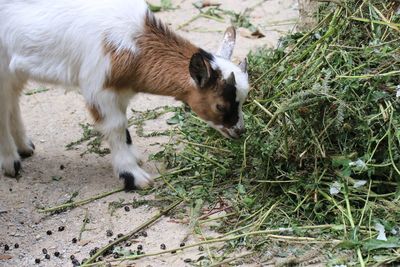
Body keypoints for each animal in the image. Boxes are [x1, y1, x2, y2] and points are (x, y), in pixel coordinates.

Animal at [0, 0, 248, 191]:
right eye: (220, 106)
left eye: (243, 100)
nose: (239, 131)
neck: (133, 44)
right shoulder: (99, 89)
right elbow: (116, 126)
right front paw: (133, 177)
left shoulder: (120, 91)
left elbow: (124, 129)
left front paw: (134, 160)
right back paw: (11, 163)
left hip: (16, 70)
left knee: (12, 99)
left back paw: (24, 147)